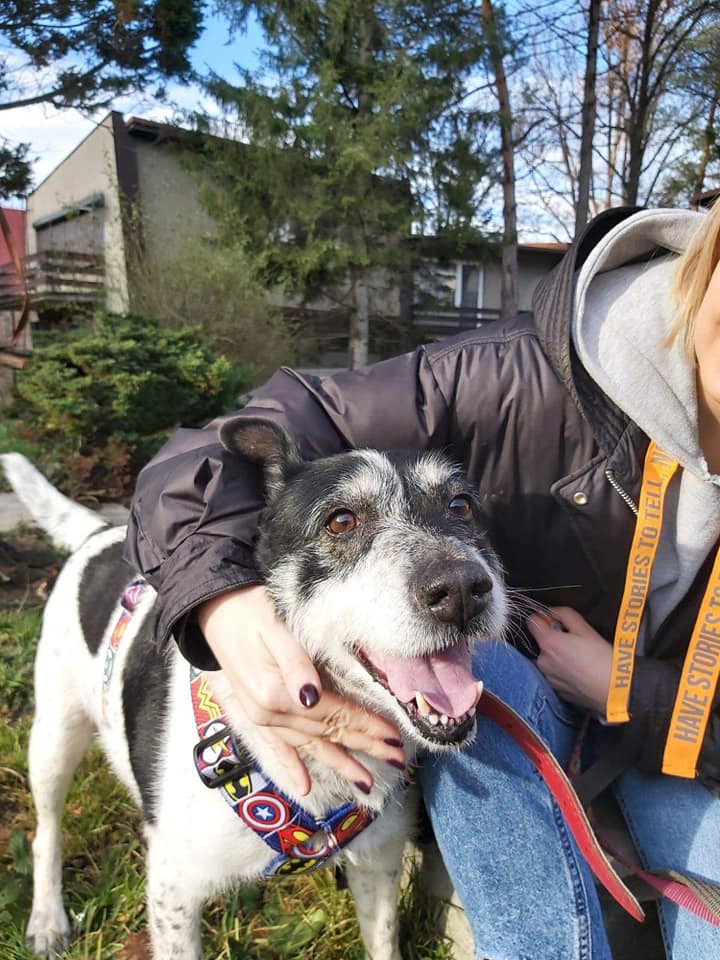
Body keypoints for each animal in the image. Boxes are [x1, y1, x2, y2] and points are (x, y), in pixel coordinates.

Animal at [3, 418, 508, 960]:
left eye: (461, 506)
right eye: (341, 521)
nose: (462, 589)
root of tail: (101, 531)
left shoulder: (378, 864)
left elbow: (383, 941)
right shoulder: (173, 889)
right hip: (54, 737)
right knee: (46, 830)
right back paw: (47, 918)